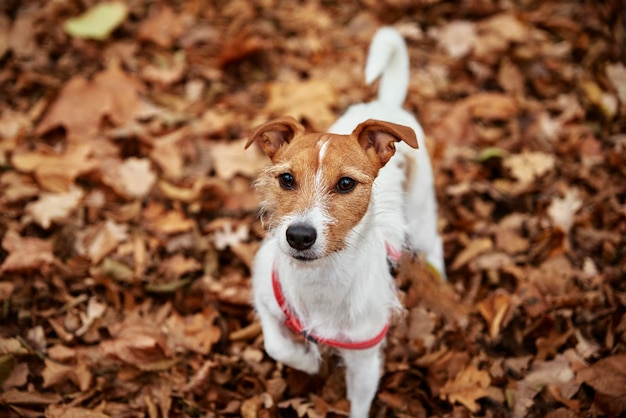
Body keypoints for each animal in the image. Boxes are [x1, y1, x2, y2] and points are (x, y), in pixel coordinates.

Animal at [244, 27, 444, 416]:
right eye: (286, 179)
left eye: (346, 184)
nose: (299, 236)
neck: (320, 279)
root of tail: (386, 104)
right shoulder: (265, 292)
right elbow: (278, 346)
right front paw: (308, 360)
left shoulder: (364, 359)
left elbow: (359, 405)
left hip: (422, 211)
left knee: (434, 244)